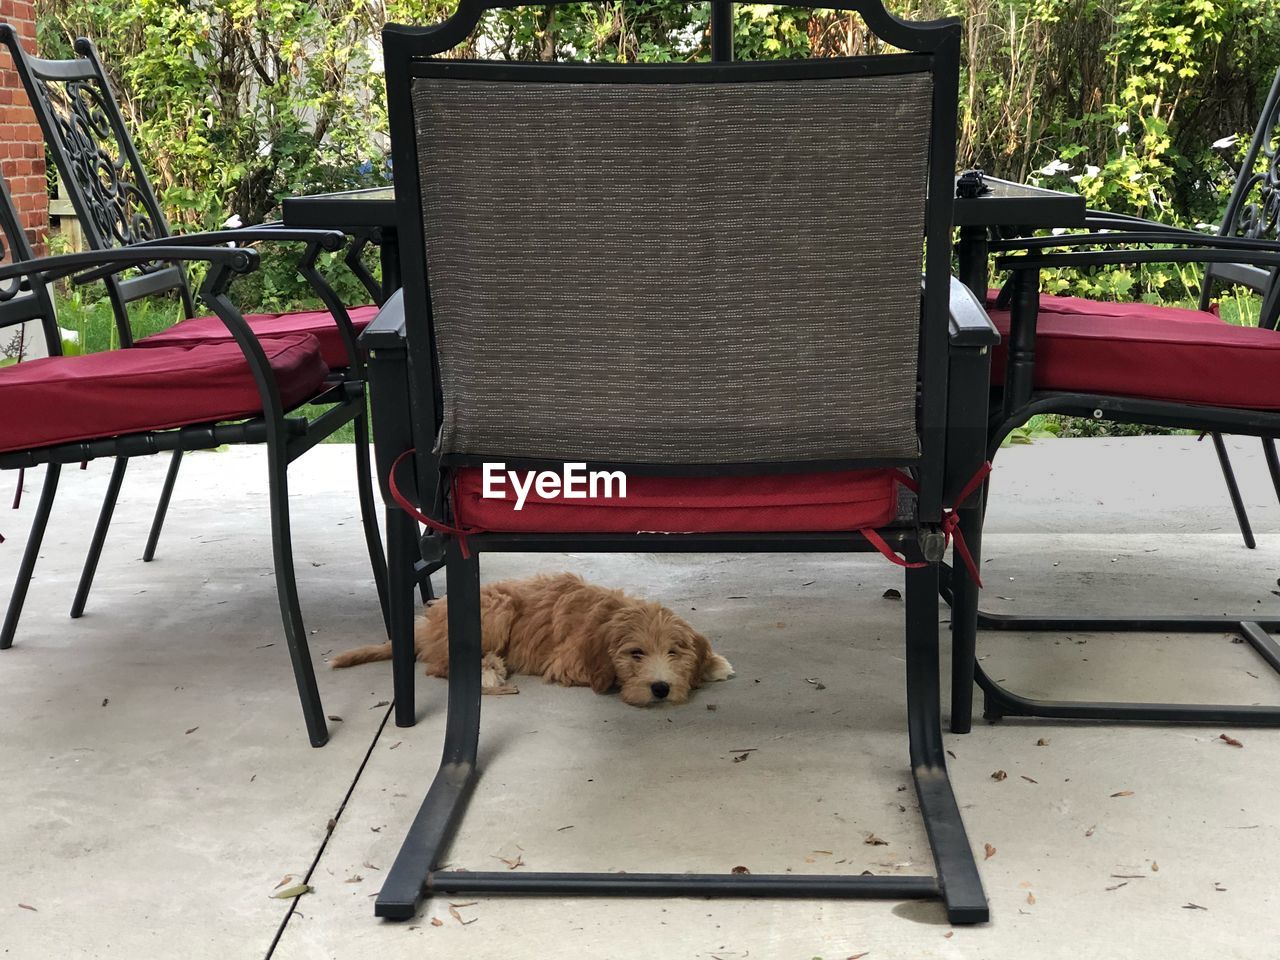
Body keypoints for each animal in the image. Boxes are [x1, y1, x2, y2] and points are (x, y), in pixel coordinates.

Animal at [330, 576, 732, 711]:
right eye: (636, 654)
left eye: (673, 653)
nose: (661, 688)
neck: (610, 615)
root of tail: (427, 625)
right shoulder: (568, 661)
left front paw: (713, 664)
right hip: (498, 607)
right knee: (441, 665)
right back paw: (489, 671)